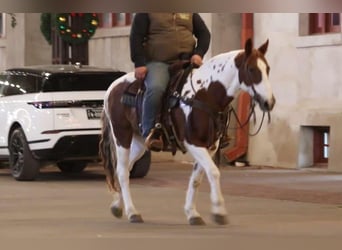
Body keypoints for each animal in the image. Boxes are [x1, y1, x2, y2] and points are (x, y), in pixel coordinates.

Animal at [99, 38, 276, 226]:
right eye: (251, 69)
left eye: (267, 69)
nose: (269, 102)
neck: (205, 94)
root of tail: (112, 87)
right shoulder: (193, 143)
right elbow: (213, 172)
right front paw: (219, 212)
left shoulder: (210, 146)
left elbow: (197, 179)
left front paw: (193, 214)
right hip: (122, 134)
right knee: (122, 171)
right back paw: (132, 212)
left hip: (140, 142)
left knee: (124, 168)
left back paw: (117, 205)